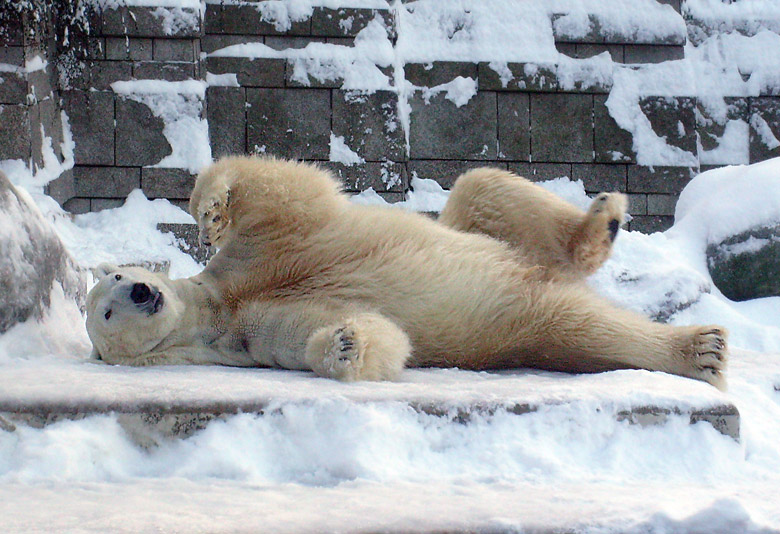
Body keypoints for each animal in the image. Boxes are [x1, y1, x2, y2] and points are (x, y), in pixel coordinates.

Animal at [87, 155, 732, 390]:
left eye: (115, 281)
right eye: (107, 313)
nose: (142, 290)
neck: (216, 309)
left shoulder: (255, 259)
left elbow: (283, 195)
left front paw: (213, 209)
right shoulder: (249, 338)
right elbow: (336, 334)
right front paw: (346, 344)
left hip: (490, 235)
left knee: (483, 187)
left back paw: (601, 222)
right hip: (518, 320)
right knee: (582, 328)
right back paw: (701, 351)